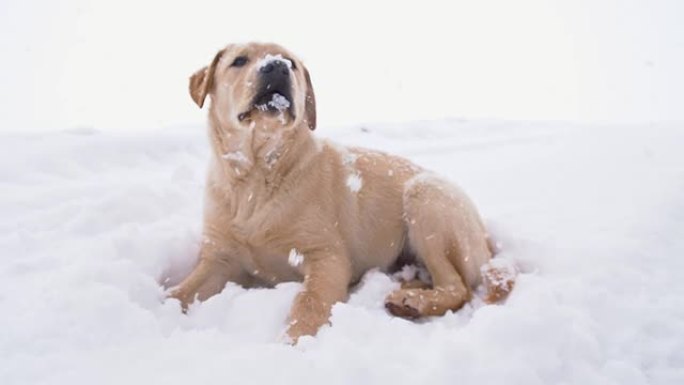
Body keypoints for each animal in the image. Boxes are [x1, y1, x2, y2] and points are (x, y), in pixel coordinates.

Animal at [170, 42, 512, 342]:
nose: (277, 66)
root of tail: (485, 236)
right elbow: (180, 293)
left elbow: (309, 301)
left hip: (425, 197)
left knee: (458, 286)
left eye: (291, 62)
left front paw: (293, 342)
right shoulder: (219, 258)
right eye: (239, 60)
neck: (257, 176)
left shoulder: (327, 257)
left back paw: (412, 302)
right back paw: (404, 289)